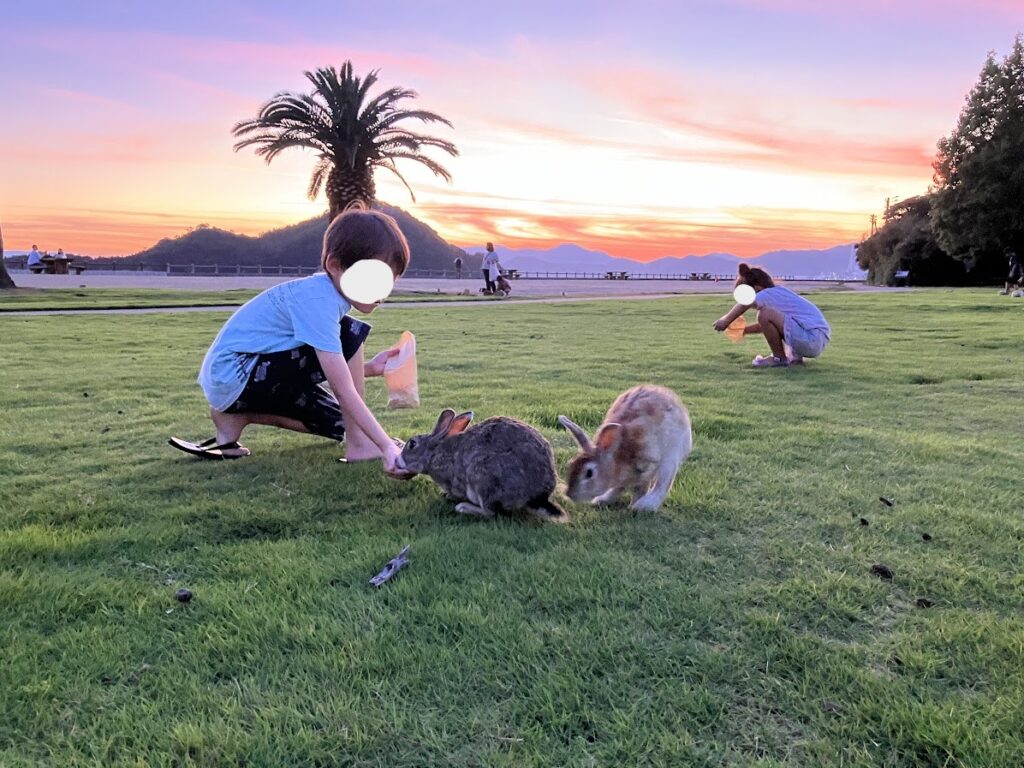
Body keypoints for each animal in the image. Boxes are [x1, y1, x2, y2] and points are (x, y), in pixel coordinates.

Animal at [395, 409, 569, 524]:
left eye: (412, 444)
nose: (397, 460)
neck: (434, 453)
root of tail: (539, 498)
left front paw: (450, 497)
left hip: (483, 478)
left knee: (489, 512)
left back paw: (463, 507)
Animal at [561, 387, 696, 514]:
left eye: (589, 473)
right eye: (570, 464)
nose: (569, 494)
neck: (616, 458)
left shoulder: (646, 468)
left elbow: (640, 489)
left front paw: (633, 506)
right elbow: (618, 488)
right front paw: (602, 500)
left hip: (671, 458)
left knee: (662, 484)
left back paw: (645, 506)